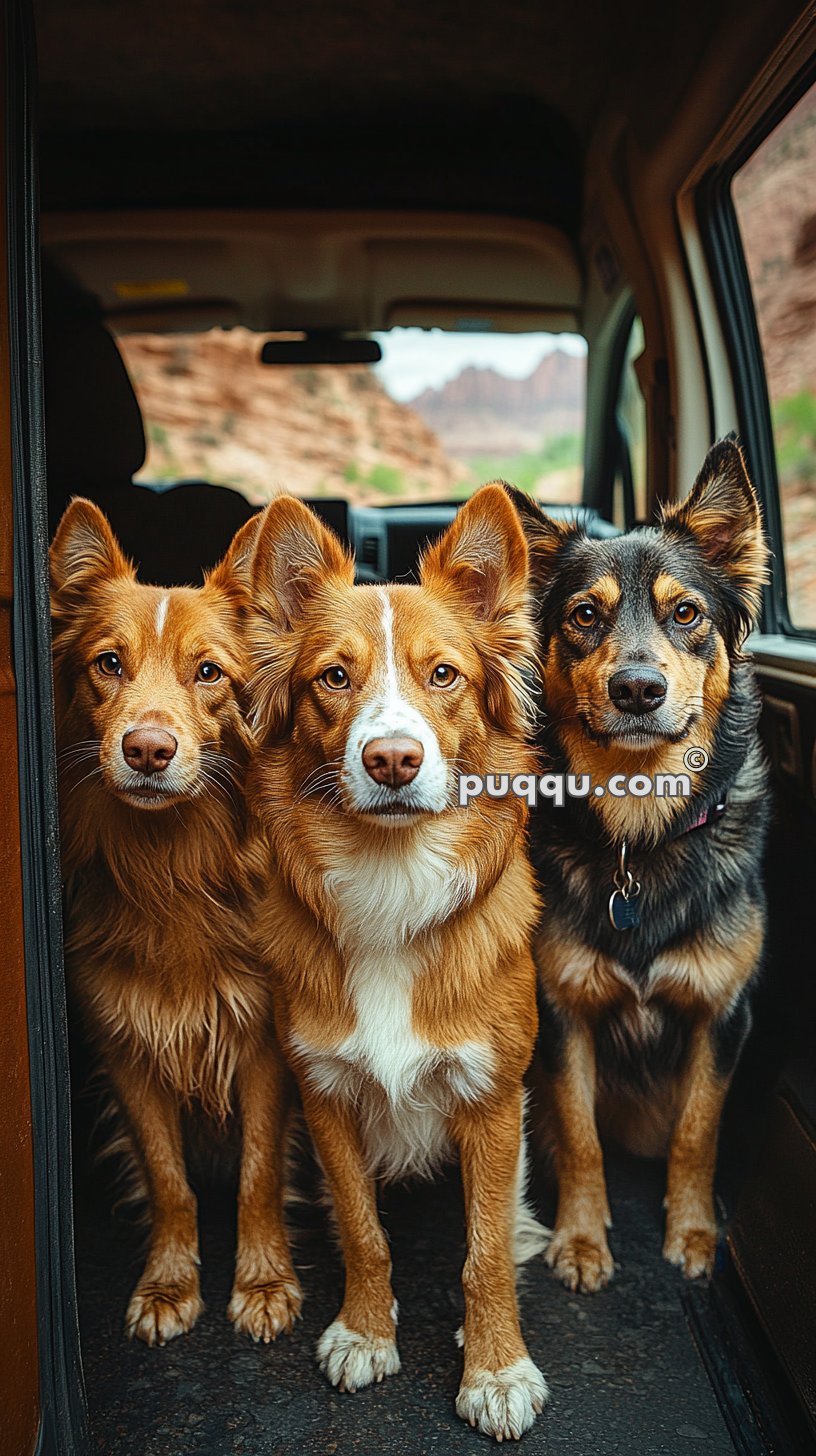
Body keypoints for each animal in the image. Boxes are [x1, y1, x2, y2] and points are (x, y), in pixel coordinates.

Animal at [51, 500, 300, 1339]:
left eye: (209, 672)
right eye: (108, 664)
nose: (148, 750)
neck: (172, 868)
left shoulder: (263, 1043)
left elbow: (259, 1171)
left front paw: (263, 1283)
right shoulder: (127, 1045)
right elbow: (167, 1179)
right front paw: (168, 1284)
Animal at [512, 436, 769, 1292]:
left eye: (685, 613)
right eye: (584, 615)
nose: (636, 689)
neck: (642, 833)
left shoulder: (722, 1017)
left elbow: (699, 1131)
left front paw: (691, 1234)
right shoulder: (562, 1015)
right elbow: (580, 1135)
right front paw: (582, 1239)